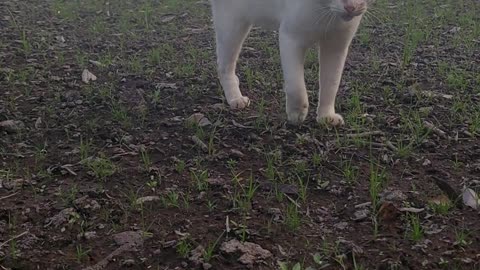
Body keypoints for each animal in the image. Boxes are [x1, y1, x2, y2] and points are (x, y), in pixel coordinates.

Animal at [209, 0, 372, 125]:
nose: (351, 6)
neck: (326, 12)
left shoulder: (336, 47)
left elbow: (331, 84)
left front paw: (326, 116)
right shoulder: (291, 38)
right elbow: (296, 86)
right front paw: (296, 113)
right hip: (231, 26)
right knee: (224, 66)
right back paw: (235, 98)